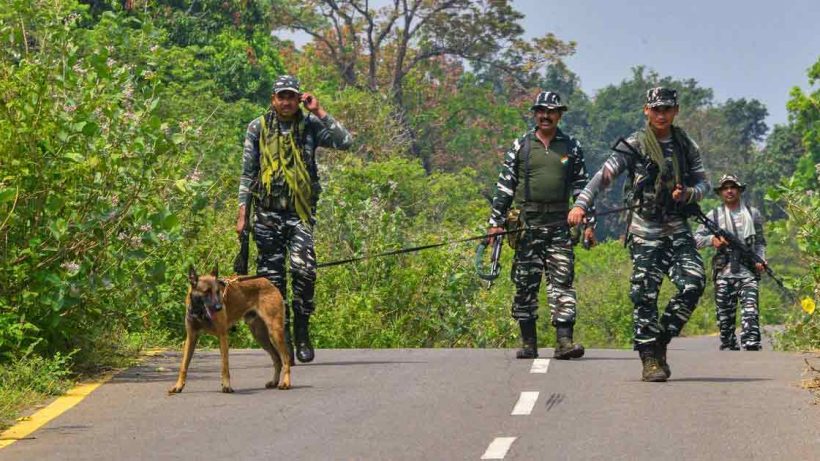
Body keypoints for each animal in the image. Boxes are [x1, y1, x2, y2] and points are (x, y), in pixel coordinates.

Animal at [167, 264, 292, 394]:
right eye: (206, 292)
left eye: (218, 292)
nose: (219, 307)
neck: (200, 312)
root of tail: (269, 282)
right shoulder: (191, 338)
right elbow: (184, 365)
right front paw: (178, 386)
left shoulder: (222, 336)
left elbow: (224, 366)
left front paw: (226, 386)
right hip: (260, 336)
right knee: (277, 358)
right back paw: (274, 382)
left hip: (275, 332)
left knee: (286, 358)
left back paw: (286, 383)